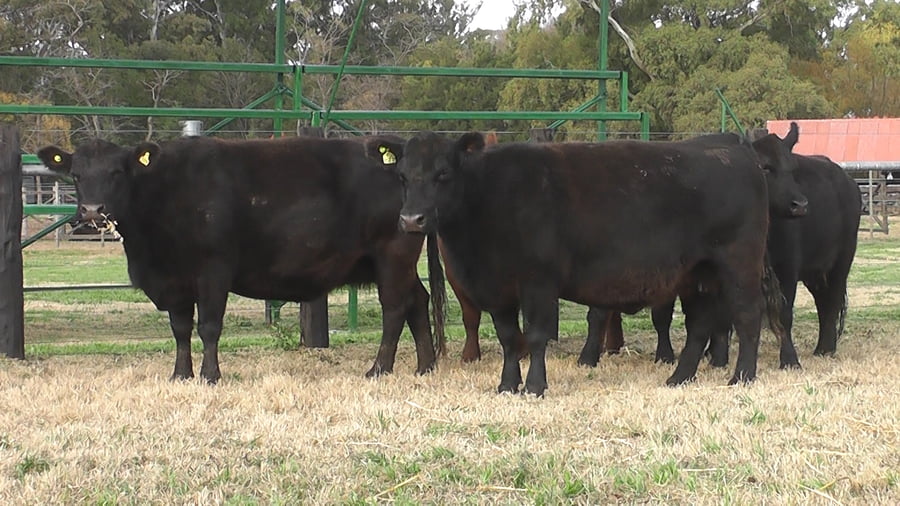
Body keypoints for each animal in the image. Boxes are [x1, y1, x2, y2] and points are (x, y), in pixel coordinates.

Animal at [37, 135, 446, 383]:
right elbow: (180, 329)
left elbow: (209, 326)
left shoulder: (213, 271)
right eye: (76, 175)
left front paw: (210, 375)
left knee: (395, 308)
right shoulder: (175, 281)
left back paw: (379, 368)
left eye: (117, 172)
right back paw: (425, 365)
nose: (92, 210)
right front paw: (180, 374)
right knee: (418, 301)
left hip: (392, 254)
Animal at [370, 131, 796, 396]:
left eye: (443, 174)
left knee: (747, 315)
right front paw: (507, 386)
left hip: (738, 263)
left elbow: (535, 335)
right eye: (403, 176)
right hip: (697, 274)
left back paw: (742, 376)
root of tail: (734, 151)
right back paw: (679, 377)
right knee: (700, 325)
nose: (412, 220)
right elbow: (509, 339)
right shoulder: (499, 290)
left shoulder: (538, 282)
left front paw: (535, 386)